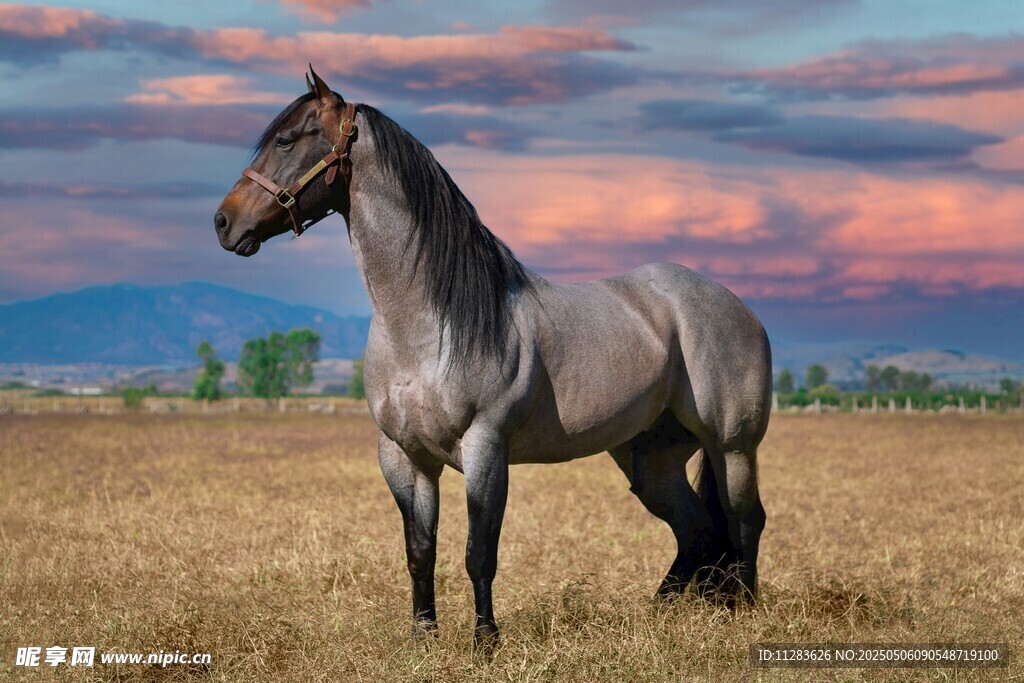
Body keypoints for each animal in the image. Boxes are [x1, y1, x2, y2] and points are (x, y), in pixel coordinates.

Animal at [215, 68, 771, 653]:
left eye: (285, 140)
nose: (224, 223)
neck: (426, 325)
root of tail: (738, 307)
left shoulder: (485, 448)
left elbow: (479, 553)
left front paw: (485, 640)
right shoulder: (404, 456)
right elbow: (420, 552)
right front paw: (423, 637)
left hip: (732, 446)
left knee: (744, 520)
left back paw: (743, 612)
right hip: (650, 458)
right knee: (695, 529)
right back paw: (660, 613)